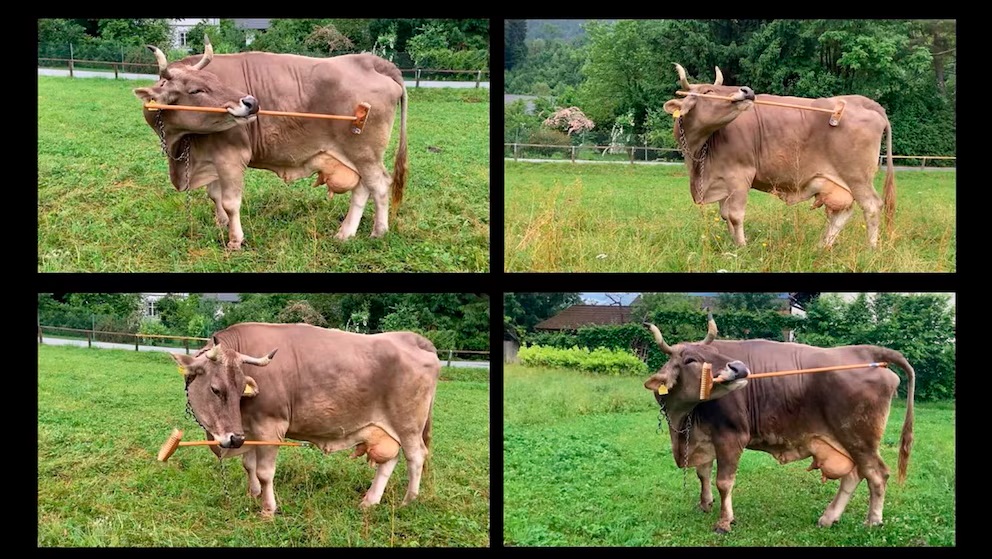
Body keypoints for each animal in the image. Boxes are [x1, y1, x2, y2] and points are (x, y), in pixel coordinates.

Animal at [134, 36, 408, 250]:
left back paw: (378, 232)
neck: (180, 145)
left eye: (217, 81)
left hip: (365, 153)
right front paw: (221, 223)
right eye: (195, 90)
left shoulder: (231, 157)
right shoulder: (211, 158)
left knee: (379, 185)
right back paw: (346, 233)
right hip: (356, 157)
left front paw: (235, 240)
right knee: (362, 188)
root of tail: (372, 62)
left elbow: (230, 202)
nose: (251, 102)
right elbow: (214, 195)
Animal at [169, 322, 439, 517]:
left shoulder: (270, 427)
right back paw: (370, 501)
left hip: (409, 425)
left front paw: (268, 509)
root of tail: (412, 338)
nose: (233, 439)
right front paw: (252, 494)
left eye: (238, 390)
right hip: (386, 429)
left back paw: (408, 501)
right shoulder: (249, 429)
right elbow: (249, 465)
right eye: (216, 389)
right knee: (390, 460)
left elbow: (265, 472)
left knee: (416, 457)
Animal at [640, 315, 914, 533]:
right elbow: (703, 472)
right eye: (690, 360)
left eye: (716, 353)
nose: (739, 368)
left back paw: (872, 521)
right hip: (849, 441)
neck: (684, 417)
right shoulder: (702, 437)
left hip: (859, 438)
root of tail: (866, 351)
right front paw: (704, 503)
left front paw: (725, 522)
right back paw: (829, 518)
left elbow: (724, 482)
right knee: (855, 474)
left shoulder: (731, 436)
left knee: (877, 474)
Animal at [663, 63, 896, 248]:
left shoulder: (740, 175)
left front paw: (742, 248)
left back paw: (870, 249)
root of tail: (865, 102)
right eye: (709, 90)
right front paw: (733, 245)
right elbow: (724, 215)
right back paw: (822, 246)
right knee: (842, 212)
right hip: (838, 182)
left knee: (872, 206)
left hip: (857, 177)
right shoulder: (722, 180)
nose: (747, 90)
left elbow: (735, 216)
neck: (699, 152)